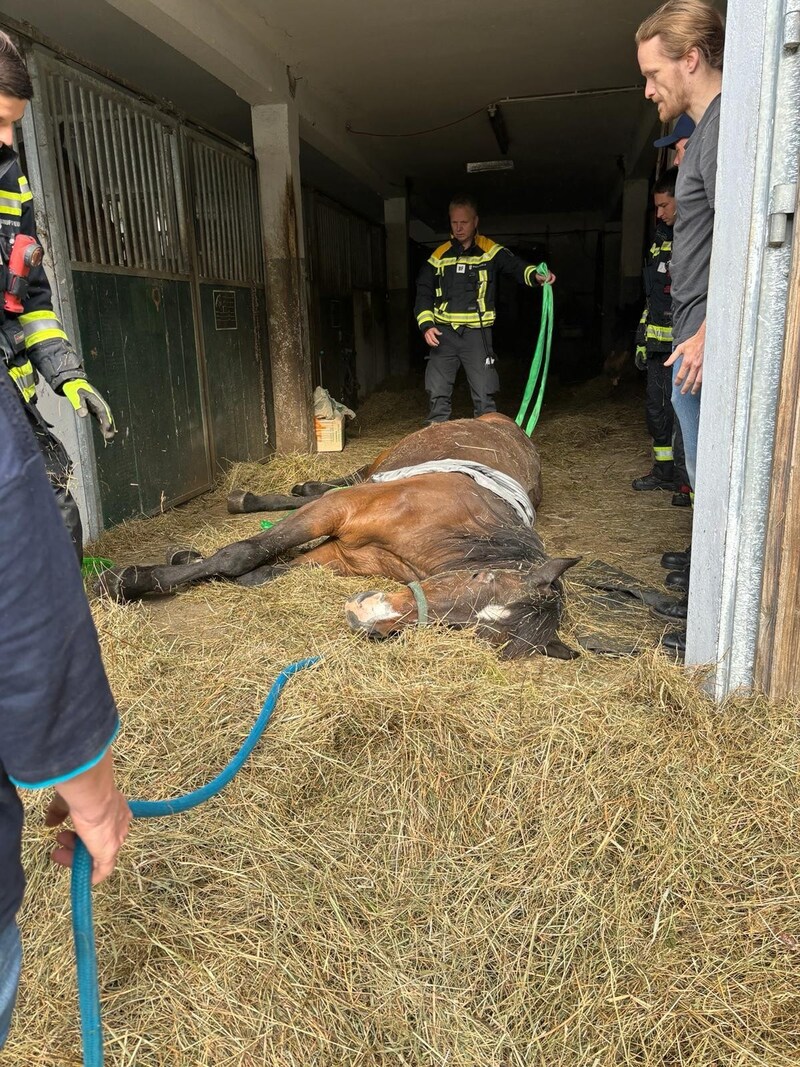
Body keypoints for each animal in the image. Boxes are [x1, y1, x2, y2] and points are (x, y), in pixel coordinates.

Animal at [101, 413, 584, 657]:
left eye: (463, 630)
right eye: (479, 579)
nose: (365, 618)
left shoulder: (341, 556)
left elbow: (265, 571)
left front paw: (185, 562)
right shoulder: (337, 512)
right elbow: (243, 553)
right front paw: (129, 580)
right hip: (379, 463)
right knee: (344, 479)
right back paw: (256, 497)